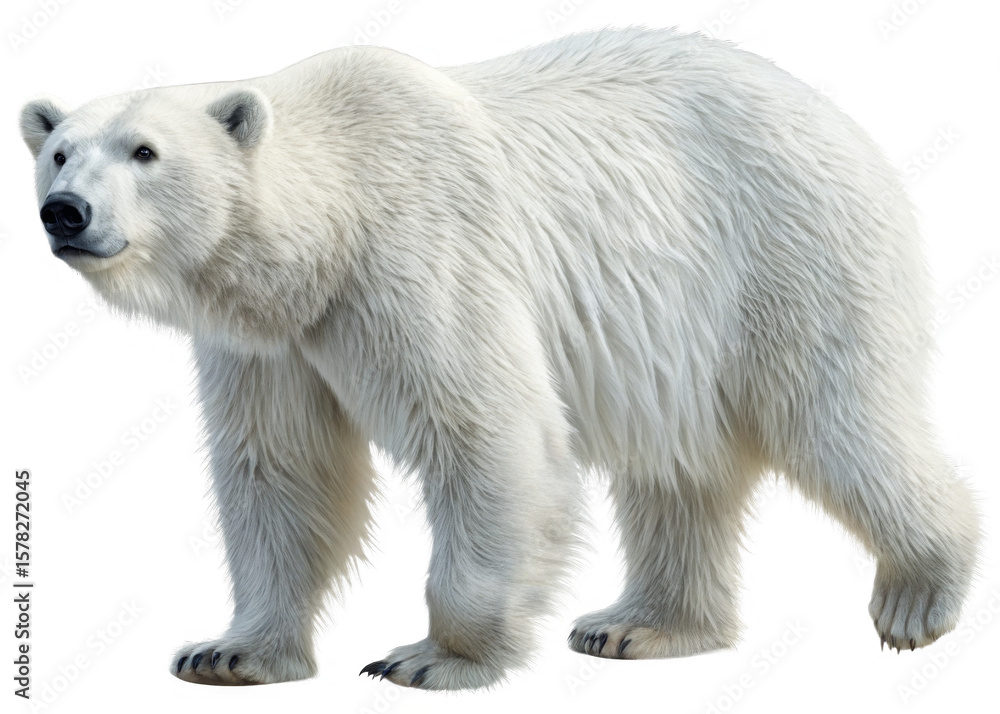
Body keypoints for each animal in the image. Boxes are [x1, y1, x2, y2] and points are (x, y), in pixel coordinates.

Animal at [21, 27, 980, 690]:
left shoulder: (418, 258)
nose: (65, 211)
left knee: (837, 418)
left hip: (785, 256)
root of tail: (840, 118)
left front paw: (430, 659)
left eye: (145, 151)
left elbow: (485, 433)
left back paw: (917, 596)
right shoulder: (273, 341)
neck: (329, 229)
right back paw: (638, 625)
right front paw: (228, 652)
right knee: (679, 466)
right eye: (59, 150)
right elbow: (281, 469)